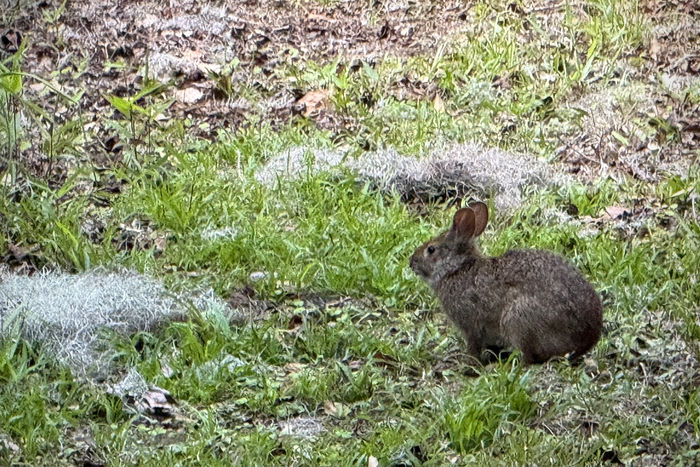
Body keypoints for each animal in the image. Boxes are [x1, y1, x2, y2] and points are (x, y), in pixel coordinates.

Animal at [410, 201, 602, 365]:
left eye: (431, 249)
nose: (412, 262)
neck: (456, 269)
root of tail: (586, 338)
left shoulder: (471, 325)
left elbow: (473, 346)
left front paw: (469, 364)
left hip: (516, 318)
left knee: (529, 357)